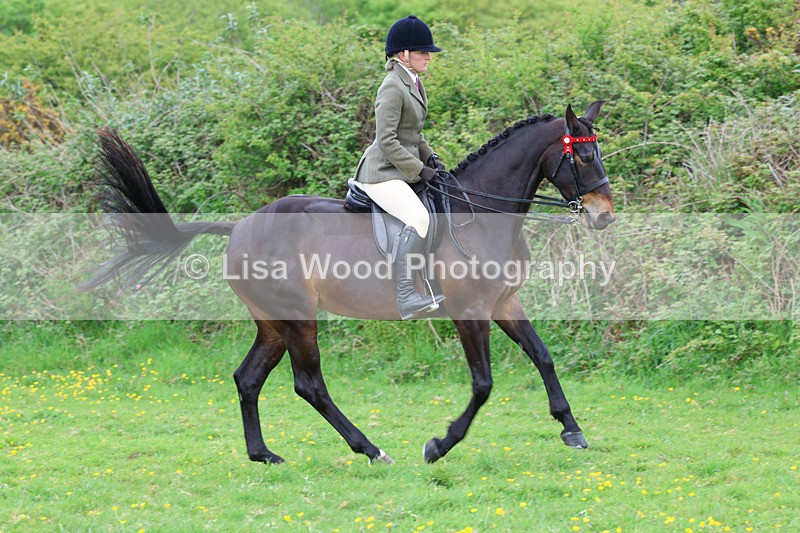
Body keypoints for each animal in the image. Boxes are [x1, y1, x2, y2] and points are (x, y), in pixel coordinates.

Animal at [88, 100, 614, 465]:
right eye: (585, 159)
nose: (604, 216)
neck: (482, 212)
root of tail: (239, 227)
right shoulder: (470, 311)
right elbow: (483, 384)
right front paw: (439, 445)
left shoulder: (504, 302)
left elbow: (543, 356)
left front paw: (571, 429)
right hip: (298, 317)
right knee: (309, 385)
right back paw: (371, 449)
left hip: (273, 322)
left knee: (248, 377)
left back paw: (264, 454)